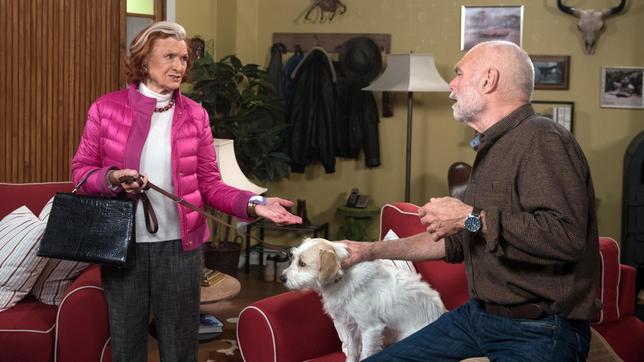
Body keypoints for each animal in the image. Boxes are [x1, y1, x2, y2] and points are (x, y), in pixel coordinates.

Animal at [280, 238, 446, 362]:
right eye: (293, 258)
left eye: (302, 264)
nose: (282, 278)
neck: (342, 278)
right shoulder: (350, 326)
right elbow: (352, 352)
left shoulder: (370, 329)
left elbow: (365, 355)